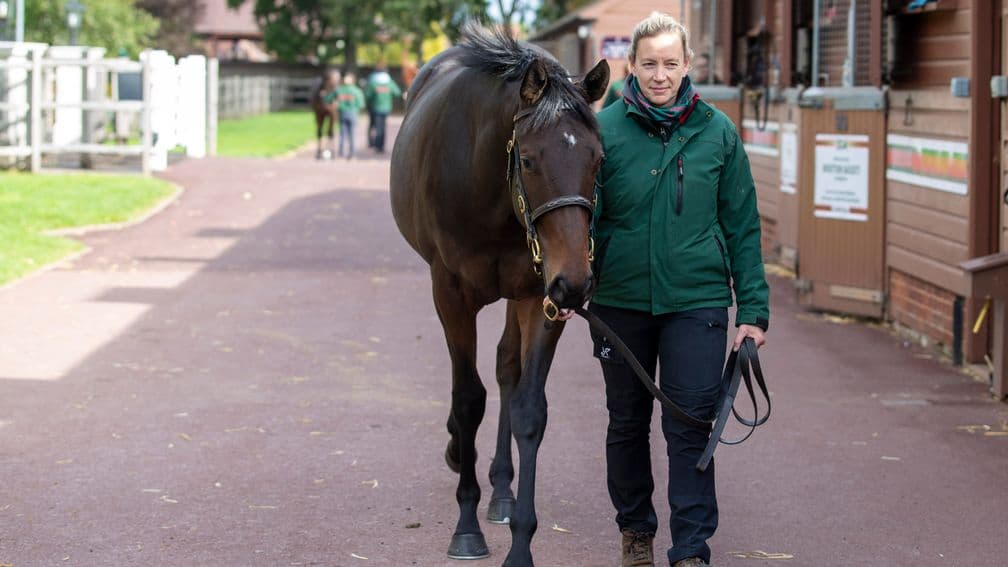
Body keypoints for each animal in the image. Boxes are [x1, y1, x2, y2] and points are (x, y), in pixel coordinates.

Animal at [389, 24, 609, 567]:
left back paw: (504, 491)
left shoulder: (541, 292)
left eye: (598, 159)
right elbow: (468, 399)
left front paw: (521, 543)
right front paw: (466, 527)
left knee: (507, 364)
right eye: (528, 160)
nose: (578, 281)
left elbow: (529, 405)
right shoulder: (449, 291)